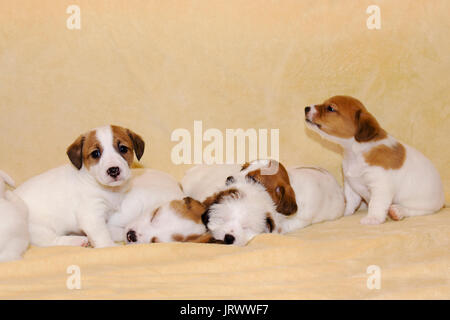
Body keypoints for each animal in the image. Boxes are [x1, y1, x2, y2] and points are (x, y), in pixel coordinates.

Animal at [14, 125, 144, 248]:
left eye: (123, 148)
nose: (113, 170)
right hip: (40, 230)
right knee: (52, 241)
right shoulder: (91, 214)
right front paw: (109, 246)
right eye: (95, 153)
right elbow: (101, 234)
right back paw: (77, 240)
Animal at [304, 95, 444, 225]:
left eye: (330, 108)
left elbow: (376, 204)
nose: (306, 108)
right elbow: (349, 201)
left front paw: (373, 218)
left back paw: (398, 211)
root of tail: (442, 200)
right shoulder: (351, 186)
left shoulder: (380, 186)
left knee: (415, 211)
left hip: (424, 205)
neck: (355, 152)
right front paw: (344, 212)